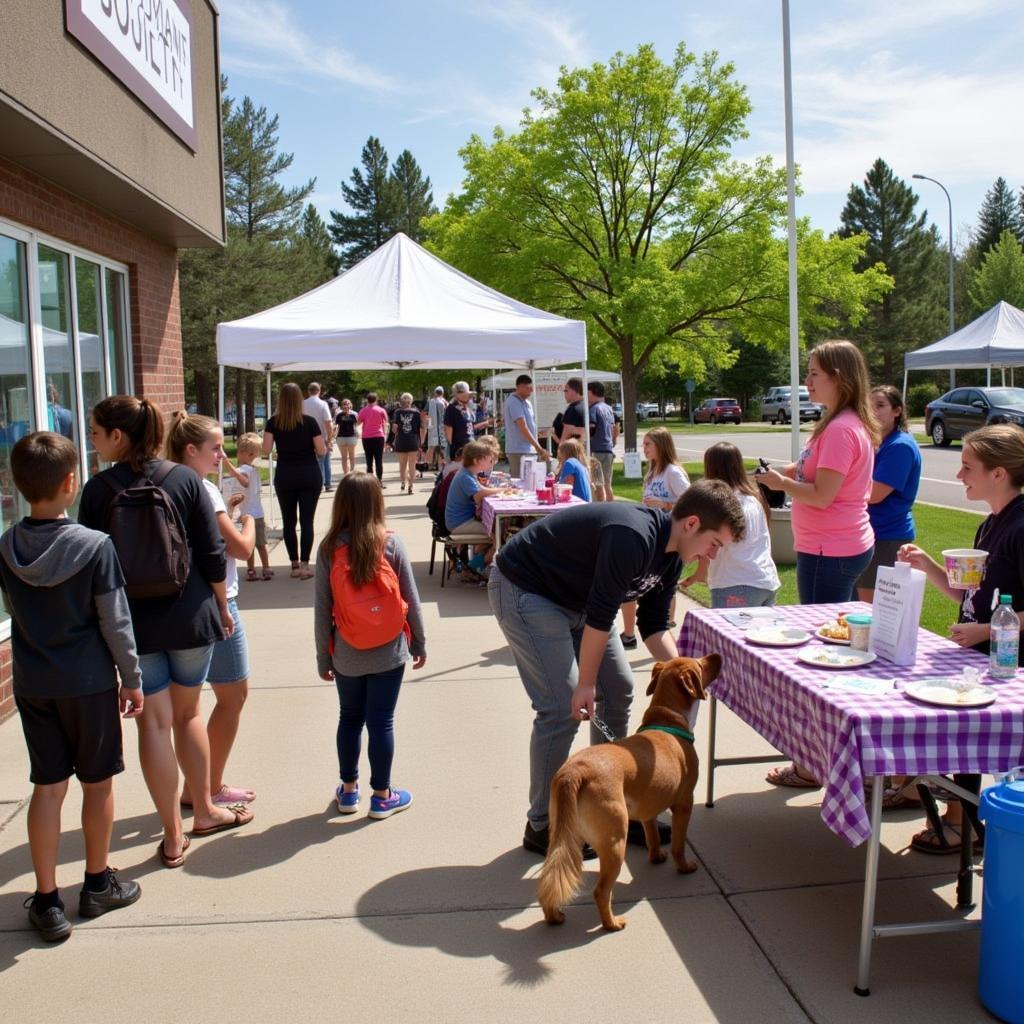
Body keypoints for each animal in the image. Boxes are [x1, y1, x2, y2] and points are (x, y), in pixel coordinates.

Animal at [536, 651, 720, 933]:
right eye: (700, 664)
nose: (717, 654)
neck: (667, 720)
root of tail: (575, 772)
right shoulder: (684, 803)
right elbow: (679, 845)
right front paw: (684, 866)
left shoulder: (648, 810)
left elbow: (652, 836)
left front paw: (656, 857)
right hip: (614, 841)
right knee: (601, 891)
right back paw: (611, 923)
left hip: (562, 833)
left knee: (553, 875)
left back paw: (553, 915)